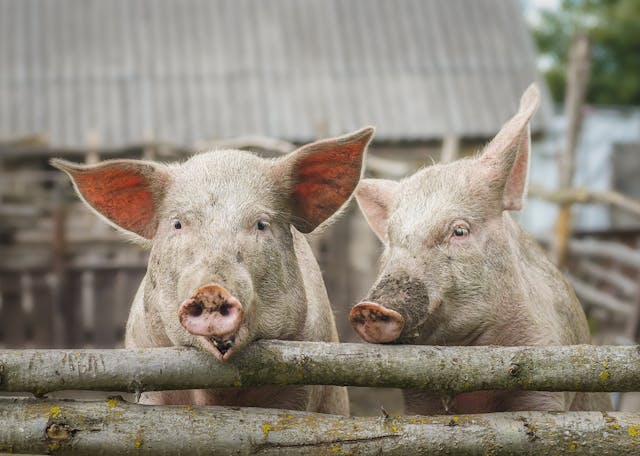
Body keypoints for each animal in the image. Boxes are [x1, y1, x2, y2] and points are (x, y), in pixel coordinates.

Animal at [349, 85, 611, 414]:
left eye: (460, 230)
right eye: (392, 238)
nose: (369, 308)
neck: (467, 354)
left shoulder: (545, 379)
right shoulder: (419, 402)